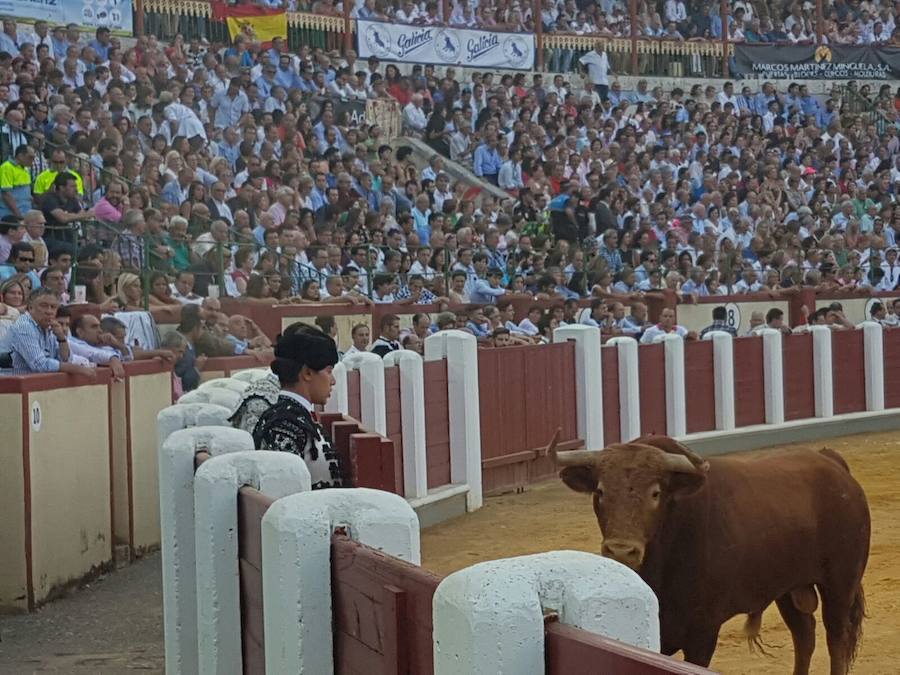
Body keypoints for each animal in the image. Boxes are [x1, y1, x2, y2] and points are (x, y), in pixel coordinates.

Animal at [556, 436, 872, 672]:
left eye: (655, 493)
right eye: (600, 491)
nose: (621, 550)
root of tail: (833, 463)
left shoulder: (702, 633)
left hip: (840, 585)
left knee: (836, 639)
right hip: (788, 588)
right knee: (804, 635)